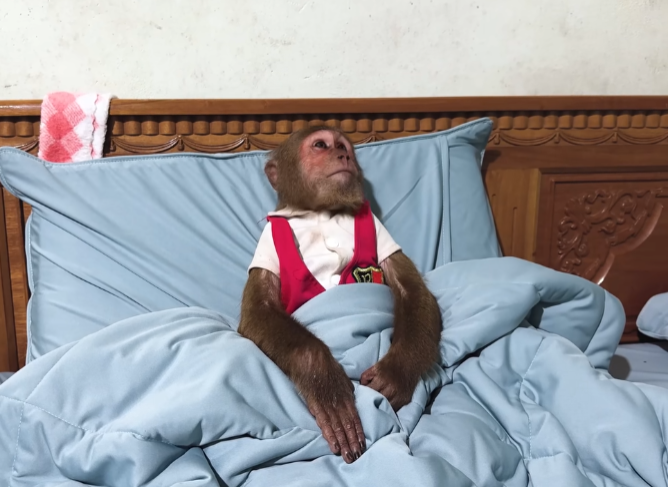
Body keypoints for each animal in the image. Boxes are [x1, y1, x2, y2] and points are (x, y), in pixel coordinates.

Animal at [238, 126, 442, 464]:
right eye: (321, 145)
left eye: (343, 145)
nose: (344, 154)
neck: (319, 213)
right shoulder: (266, 244)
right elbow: (258, 311)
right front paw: (325, 384)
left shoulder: (378, 229)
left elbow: (409, 288)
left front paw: (396, 372)